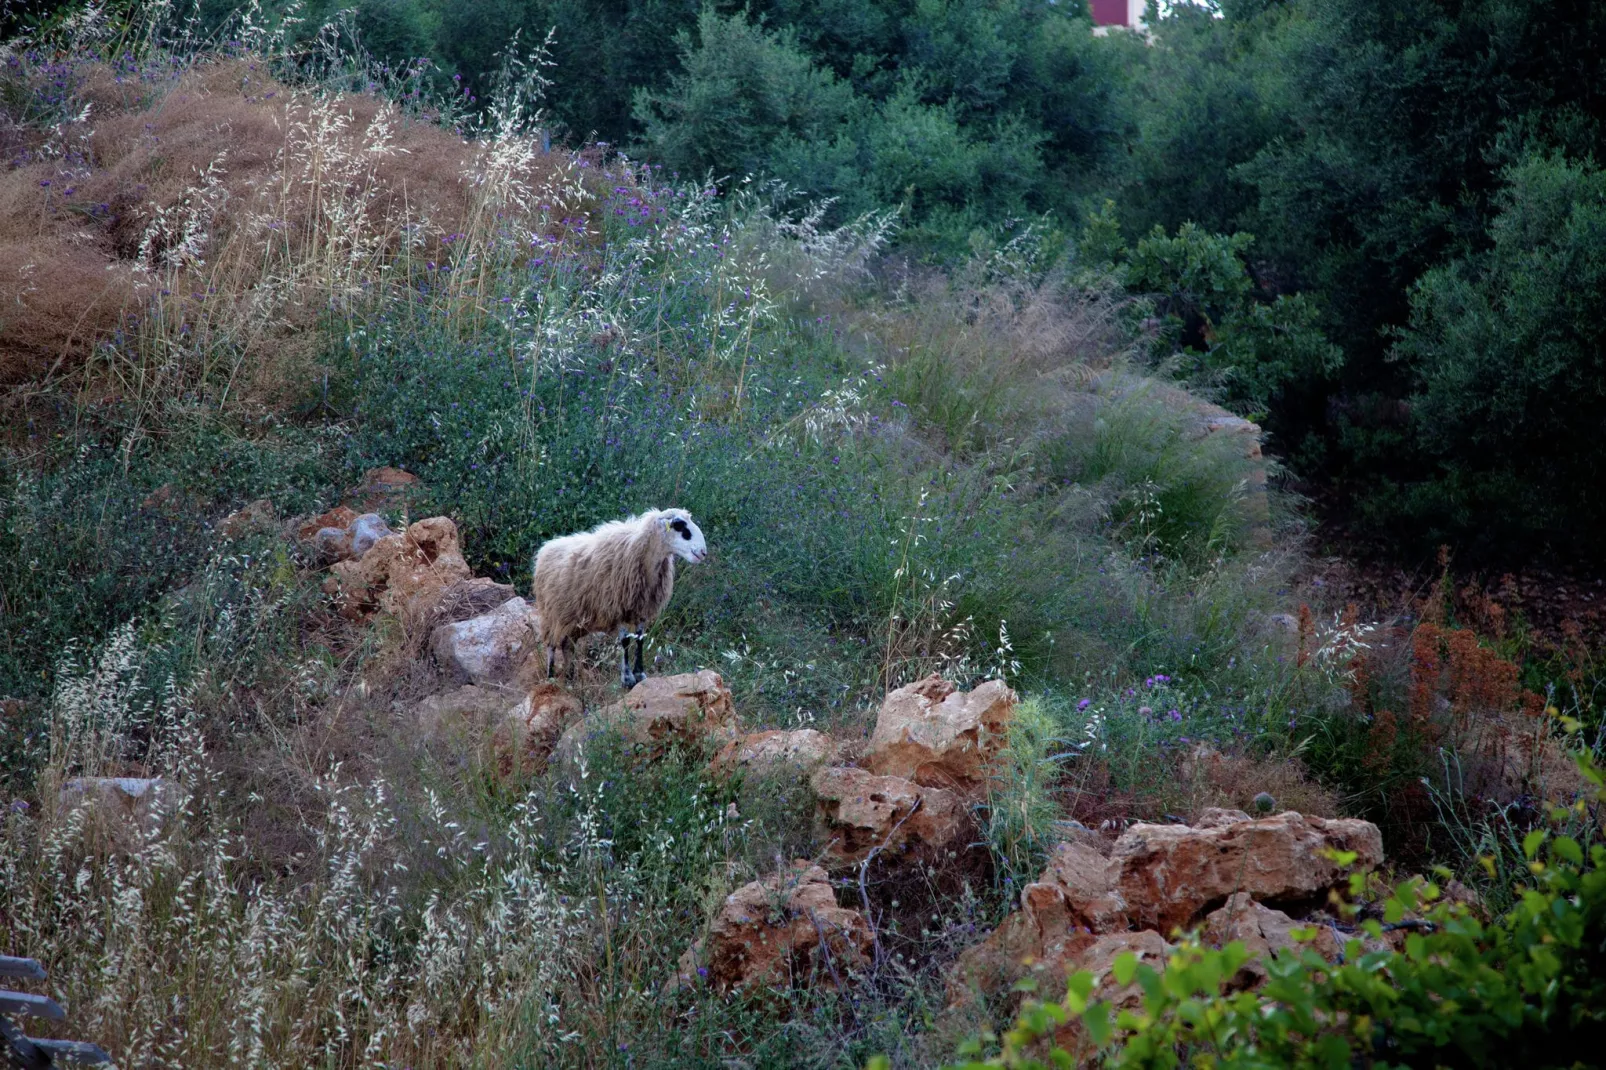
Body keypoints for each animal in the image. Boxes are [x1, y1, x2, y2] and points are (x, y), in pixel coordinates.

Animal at [529, 507, 706, 684]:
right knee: (551, 645)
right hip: (551, 613)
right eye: (678, 525)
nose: (703, 552)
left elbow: (640, 639)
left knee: (568, 645)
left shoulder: (641, 608)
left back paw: (570, 679)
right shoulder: (617, 606)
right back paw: (551, 676)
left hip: (573, 619)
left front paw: (639, 673)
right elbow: (625, 641)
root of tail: (546, 547)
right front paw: (627, 678)